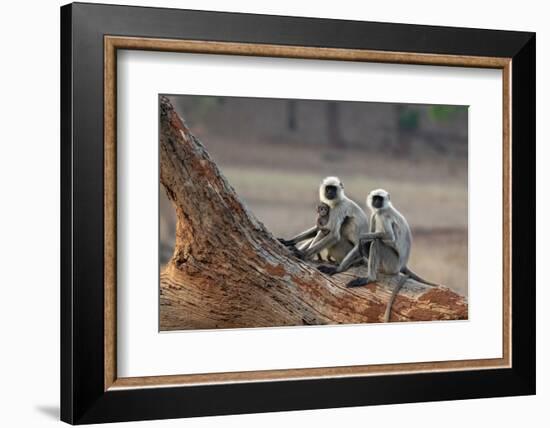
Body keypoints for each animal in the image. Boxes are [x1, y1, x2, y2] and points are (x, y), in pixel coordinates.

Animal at [348, 190, 442, 320]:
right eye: (375, 198)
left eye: (380, 198)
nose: (376, 202)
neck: (384, 208)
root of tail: (402, 265)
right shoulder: (375, 215)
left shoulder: (382, 215)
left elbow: (389, 237)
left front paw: (362, 237)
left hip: (392, 264)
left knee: (376, 242)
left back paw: (370, 278)